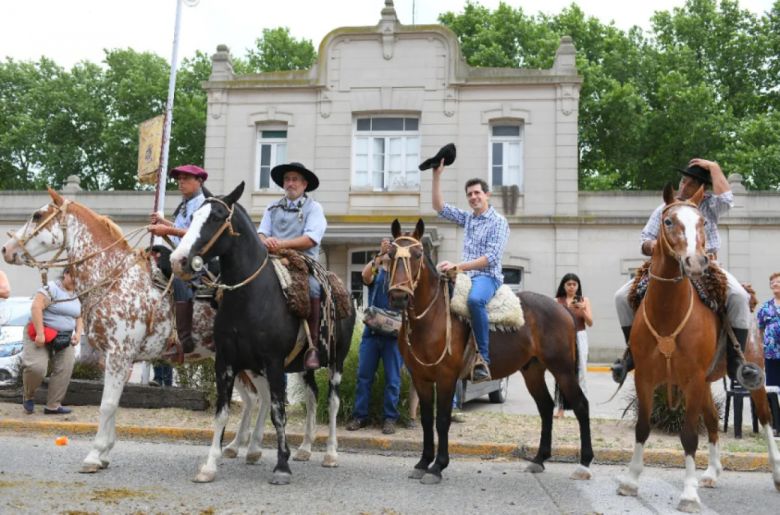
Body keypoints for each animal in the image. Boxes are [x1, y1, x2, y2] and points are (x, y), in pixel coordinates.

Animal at [0, 188, 268, 476]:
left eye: (38, 215)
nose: (7, 249)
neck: (114, 277)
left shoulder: (119, 354)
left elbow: (107, 404)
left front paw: (94, 455)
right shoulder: (115, 358)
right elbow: (113, 403)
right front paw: (105, 453)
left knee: (266, 397)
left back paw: (254, 448)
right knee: (254, 399)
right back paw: (239, 447)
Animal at [172, 181, 354, 484]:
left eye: (216, 217)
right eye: (194, 215)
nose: (178, 260)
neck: (251, 296)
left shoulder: (274, 363)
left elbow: (279, 413)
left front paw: (282, 466)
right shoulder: (226, 363)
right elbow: (222, 413)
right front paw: (210, 465)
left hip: (336, 361)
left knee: (333, 401)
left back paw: (330, 453)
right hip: (303, 367)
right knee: (312, 397)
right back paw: (305, 448)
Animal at [386, 220, 596, 486]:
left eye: (417, 255)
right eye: (389, 255)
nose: (399, 297)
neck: (432, 317)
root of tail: (564, 310)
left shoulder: (446, 378)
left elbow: (442, 420)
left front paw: (438, 466)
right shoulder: (420, 378)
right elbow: (425, 420)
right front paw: (423, 462)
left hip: (563, 369)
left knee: (580, 405)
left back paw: (584, 463)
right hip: (533, 371)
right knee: (546, 407)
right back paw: (539, 459)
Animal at [616, 184, 780, 512]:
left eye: (703, 222)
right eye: (668, 221)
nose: (696, 262)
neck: (669, 312)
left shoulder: (691, 380)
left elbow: (690, 436)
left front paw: (688, 494)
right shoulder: (646, 378)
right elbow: (643, 427)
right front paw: (631, 480)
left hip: (753, 377)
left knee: (766, 418)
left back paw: (777, 474)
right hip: (705, 383)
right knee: (714, 420)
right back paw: (712, 473)